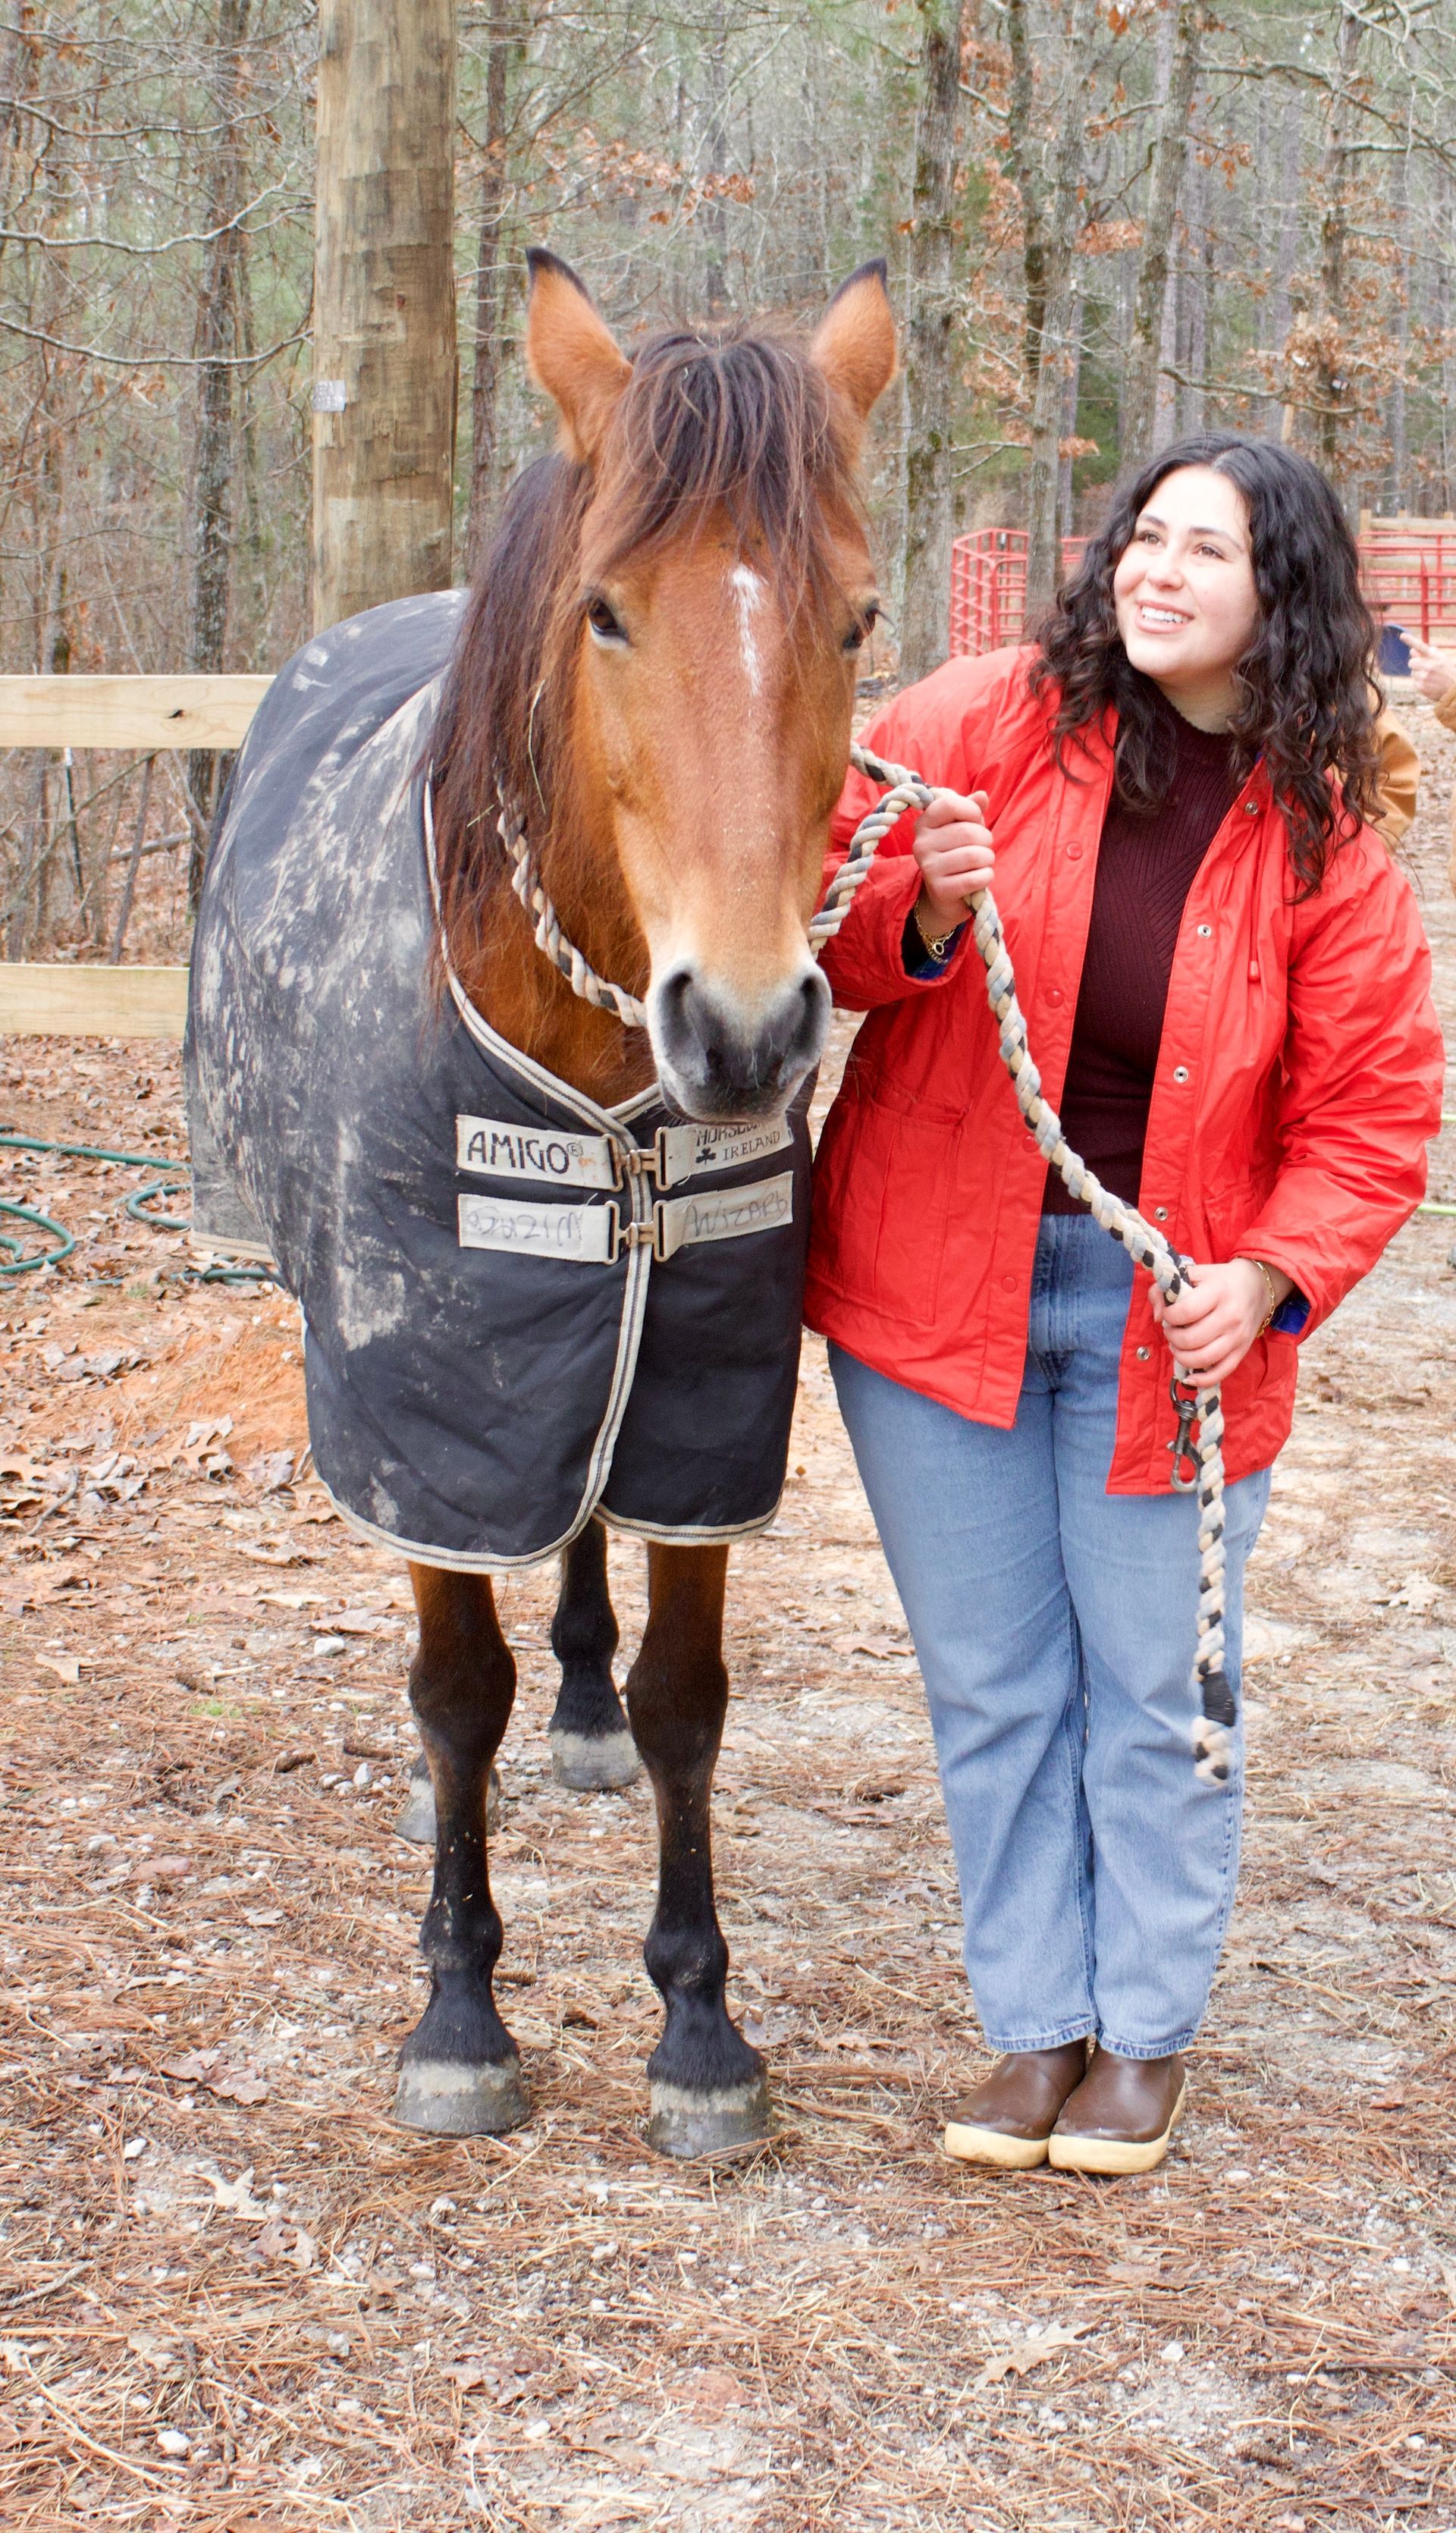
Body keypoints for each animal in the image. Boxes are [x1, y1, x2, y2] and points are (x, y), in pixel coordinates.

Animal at [187, 248, 897, 2158]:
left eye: (859, 620)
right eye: (607, 614)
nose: (745, 1029)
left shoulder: (704, 1386)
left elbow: (686, 1700)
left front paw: (700, 2024)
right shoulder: (429, 1413)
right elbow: (455, 1695)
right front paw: (459, 2010)